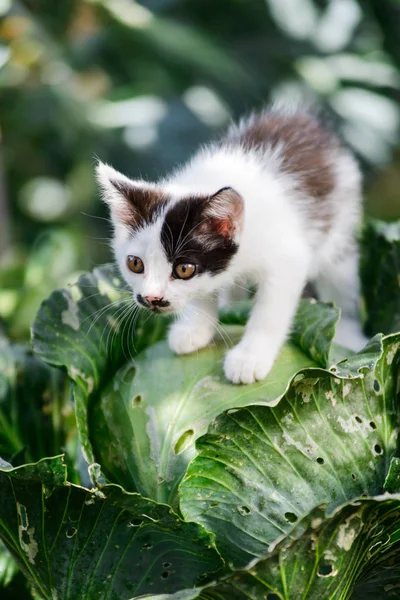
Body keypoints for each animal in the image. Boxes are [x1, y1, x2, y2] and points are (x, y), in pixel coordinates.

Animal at [96, 104, 366, 384]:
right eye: (135, 264)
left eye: (184, 269)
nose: (151, 298)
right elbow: (203, 291)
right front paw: (196, 328)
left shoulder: (288, 257)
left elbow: (271, 308)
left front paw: (250, 357)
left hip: (341, 225)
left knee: (340, 282)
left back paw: (347, 333)